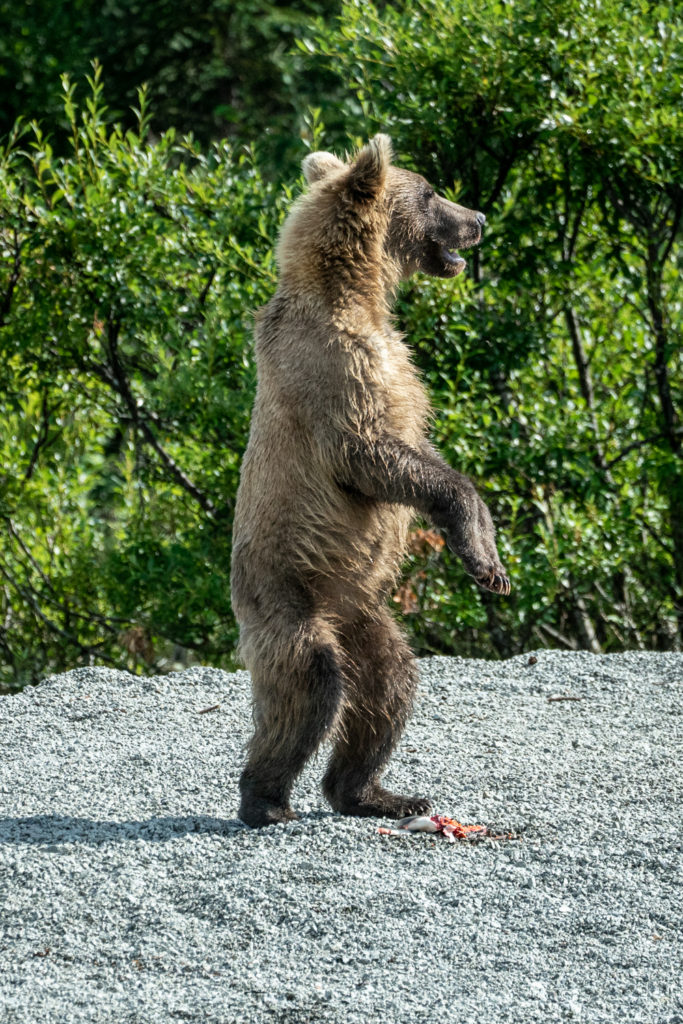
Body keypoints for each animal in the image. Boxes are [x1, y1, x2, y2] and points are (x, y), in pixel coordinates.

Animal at [232, 132, 509, 827]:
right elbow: (373, 456)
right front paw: (482, 555)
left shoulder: (399, 370)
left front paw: (490, 562)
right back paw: (265, 799)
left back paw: (373, 791)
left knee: (389, 684)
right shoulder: (332, 374)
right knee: (310, 682)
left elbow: (419, 447)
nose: (479, 218)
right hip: (286, 594)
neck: (354, 295)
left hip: (365, 609)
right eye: (434, 192)